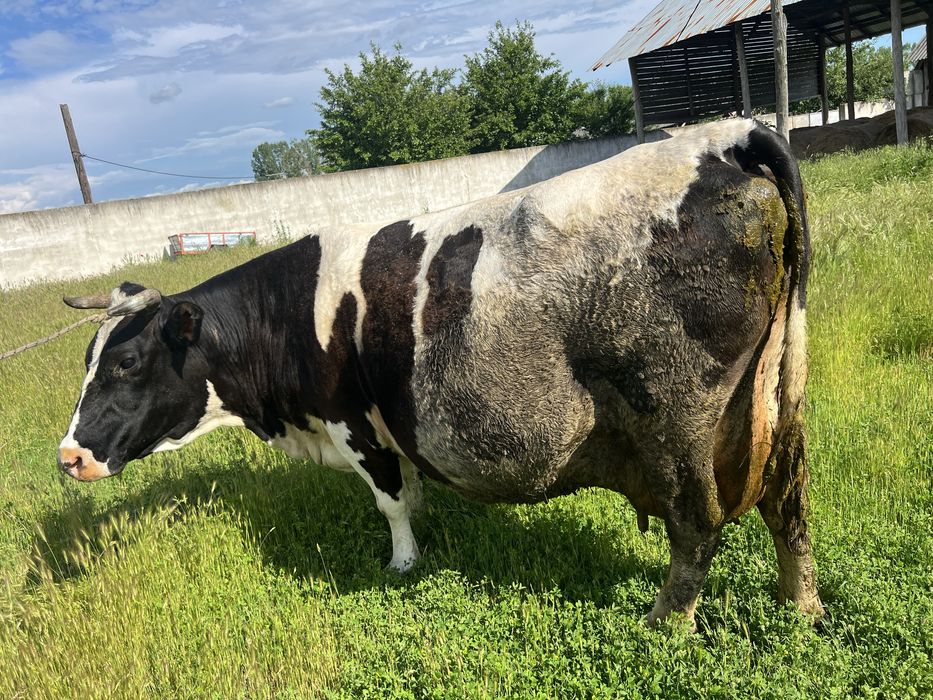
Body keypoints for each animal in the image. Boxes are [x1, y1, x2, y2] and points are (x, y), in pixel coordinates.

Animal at [58, 119, 823, 628]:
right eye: (90, 360)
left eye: (126, 362)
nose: (67, 456)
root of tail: (723, 137)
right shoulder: (392, 429)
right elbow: (413, 490)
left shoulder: (353, 423)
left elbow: (391, 502)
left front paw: (401, 564)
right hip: (778, 404)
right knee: (788, 506)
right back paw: (800, 607)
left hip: (676, 417)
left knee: (697, 524)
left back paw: (665, 624)